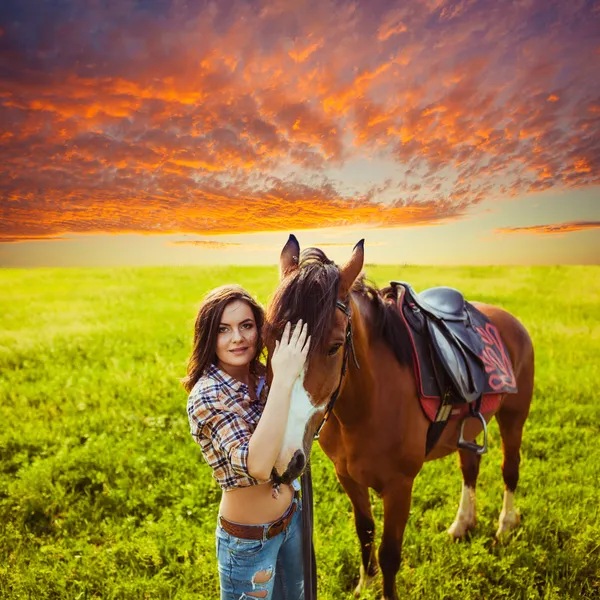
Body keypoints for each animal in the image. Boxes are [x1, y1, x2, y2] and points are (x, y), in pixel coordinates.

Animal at [264, 236, 536, 600]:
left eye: (334, 346)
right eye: (268, 341)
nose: (278, 457)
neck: (366, 405)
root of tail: (509, 320)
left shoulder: (399, 487)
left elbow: (389, 552)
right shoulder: (347, 477)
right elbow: (364, 530)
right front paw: (365, 584)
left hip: (514, 417)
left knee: (510, 469)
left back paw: (505, 524)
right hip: (470, 429)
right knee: (470, 468)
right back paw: (462, 524)